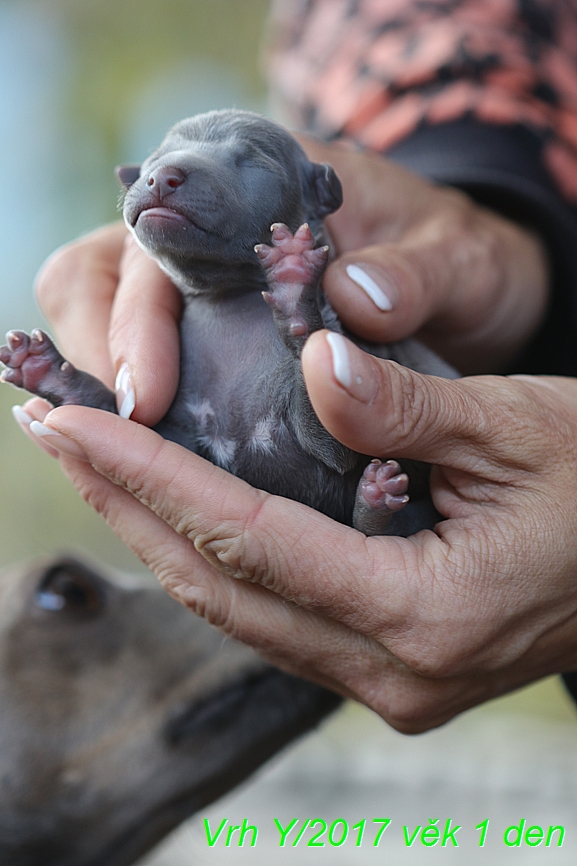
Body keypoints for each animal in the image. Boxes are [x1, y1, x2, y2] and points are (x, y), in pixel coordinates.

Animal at [2, 109, 456, 532]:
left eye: (252, 161)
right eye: (153, 161)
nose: (162, 177)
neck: (228, 302)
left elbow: (337, 445)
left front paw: (294, 288)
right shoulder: (179, 435)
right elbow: (131, 423)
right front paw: (49, 371)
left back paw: (377, 501)